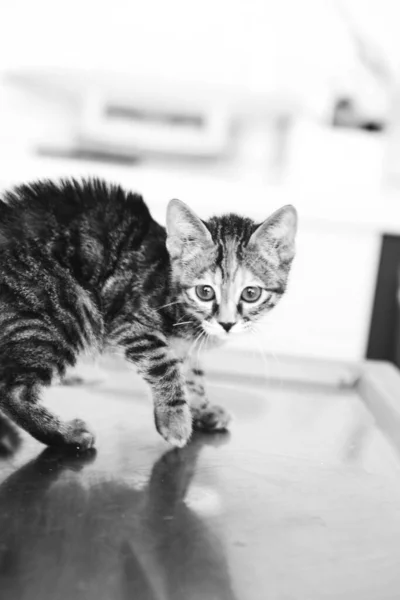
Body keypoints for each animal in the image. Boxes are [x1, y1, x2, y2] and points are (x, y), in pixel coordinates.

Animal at [0, 179, 296, 450]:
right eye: (205, 292)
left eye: (250, 294)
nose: (226, 324)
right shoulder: (128, 323)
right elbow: (165, 364)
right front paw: (175, 421)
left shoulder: (186, 345)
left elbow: (193, 374)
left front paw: (202, 408)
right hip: (69, 311)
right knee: (10, 389)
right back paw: (67, 435)